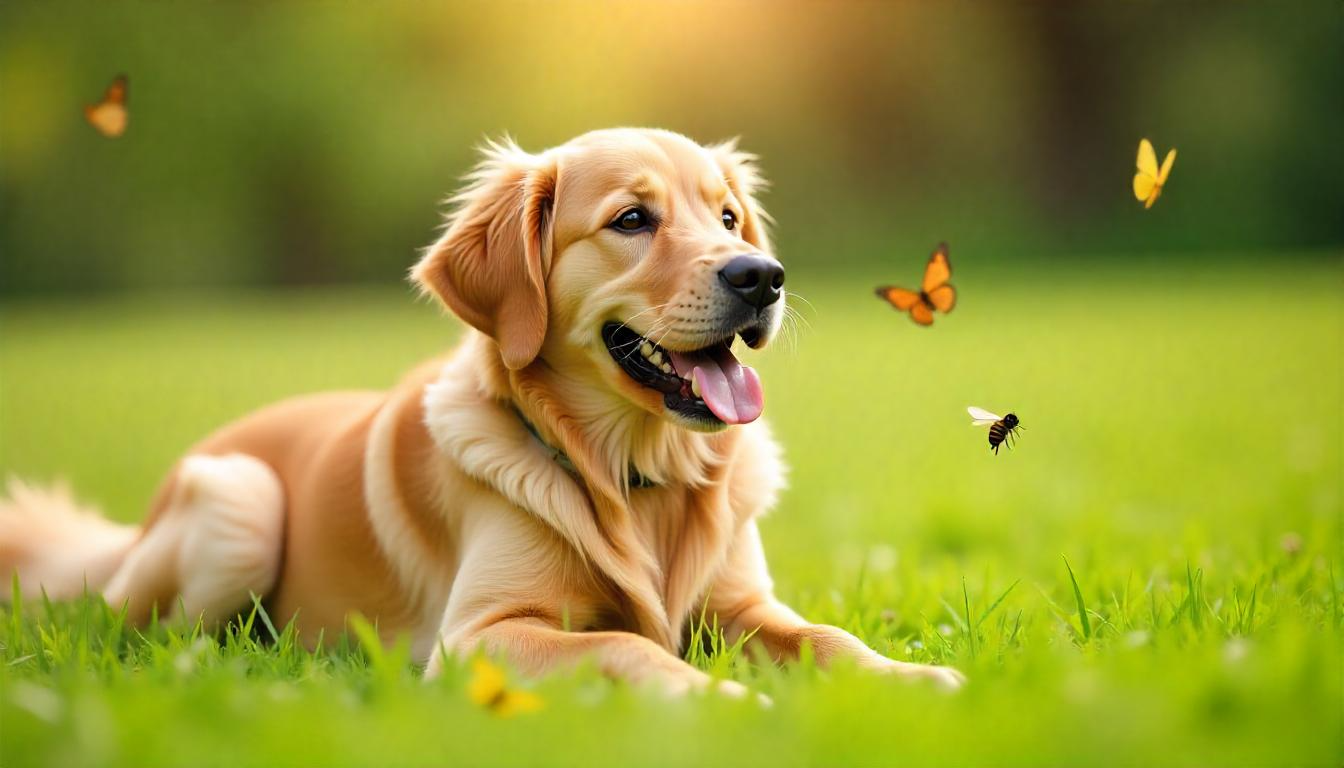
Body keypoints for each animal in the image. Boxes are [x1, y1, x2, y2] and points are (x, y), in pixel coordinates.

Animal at [0, 129, 967, 694]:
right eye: (631, 220)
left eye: (728, 218)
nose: (762, 277)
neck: (635, 475)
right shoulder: (480, 637)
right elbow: (629, 647)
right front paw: (724, 699)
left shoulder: (741, 606)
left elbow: (829, 637)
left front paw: (915, 679)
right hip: (241, 503)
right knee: (147, 638)